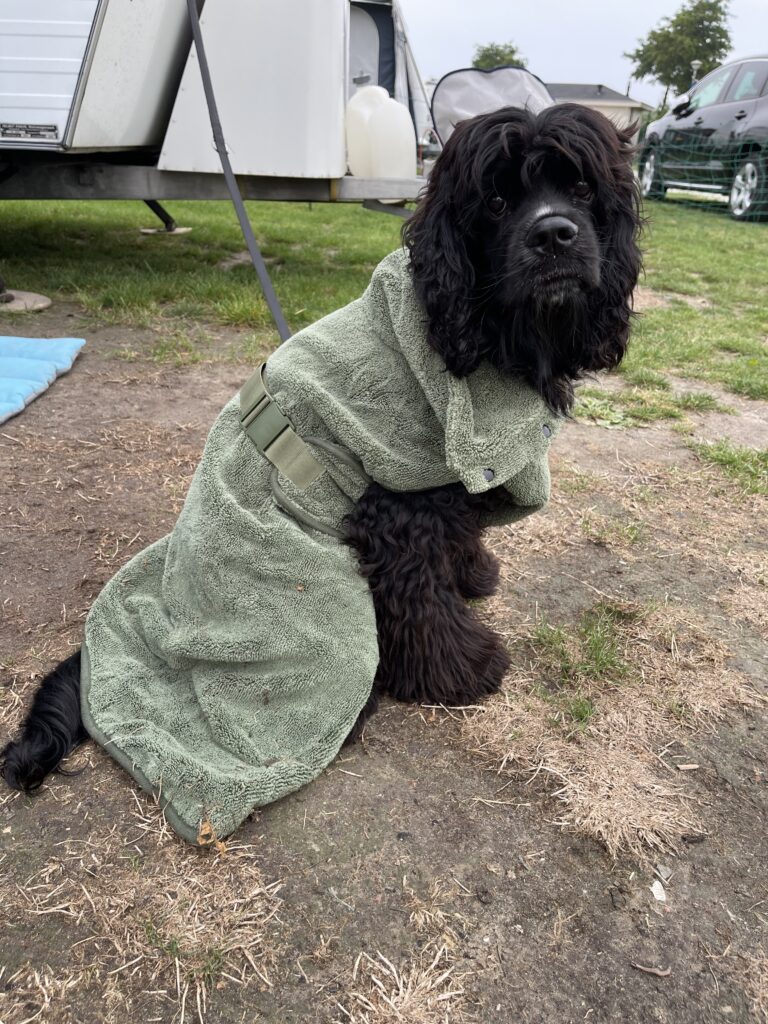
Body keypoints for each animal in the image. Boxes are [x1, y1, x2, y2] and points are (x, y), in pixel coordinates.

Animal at [1, 101, 643, 790]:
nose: (555, 234)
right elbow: (423, 597)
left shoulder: (441, 480)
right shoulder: (398, 500)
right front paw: (463, 670)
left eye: (582, 189)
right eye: (495, 201)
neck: (482, 337)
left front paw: (473, 574)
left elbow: (458, 541)